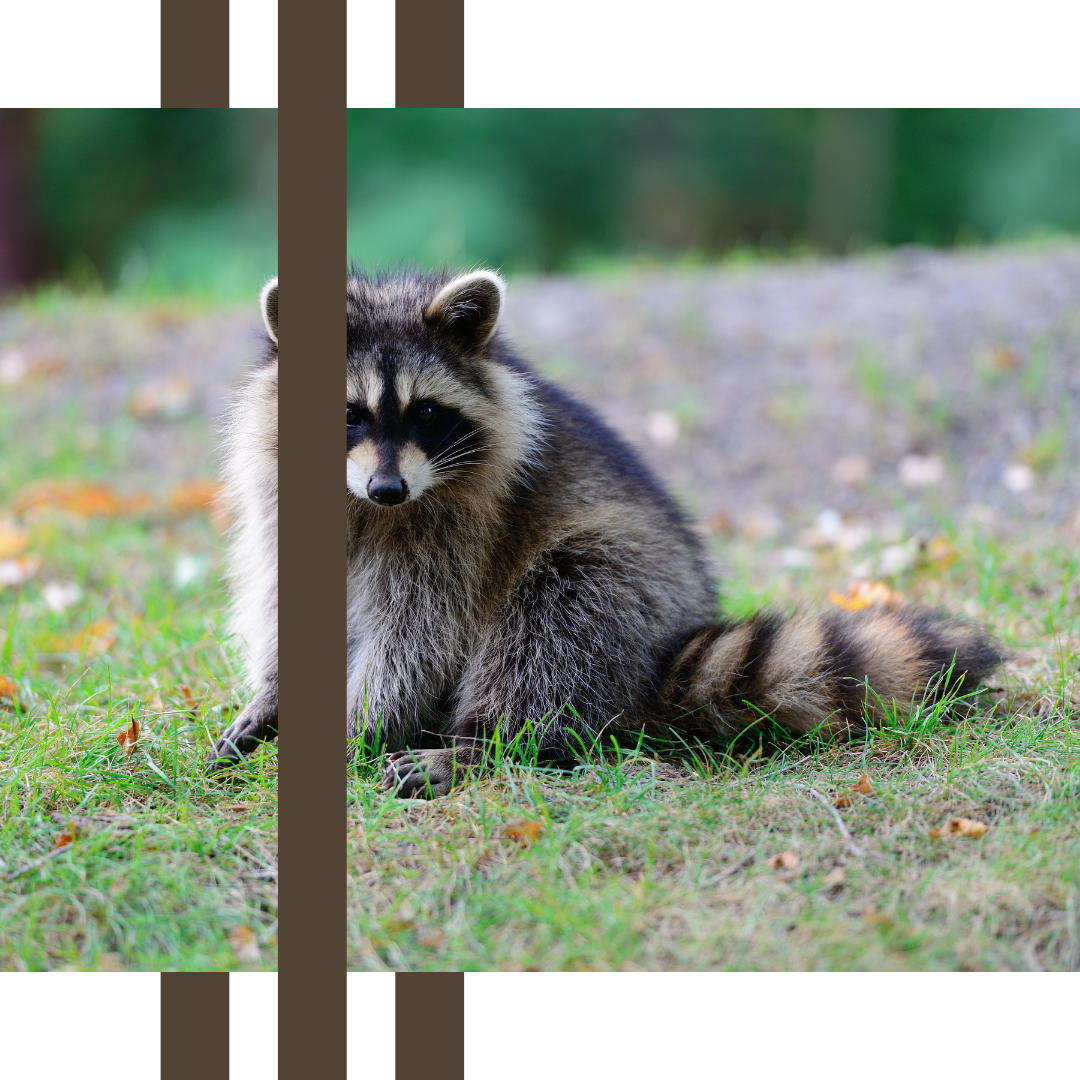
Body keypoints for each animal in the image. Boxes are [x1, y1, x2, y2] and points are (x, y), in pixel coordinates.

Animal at [347, 269, 999, 797]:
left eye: (425, 412)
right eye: (351, 413)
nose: (388, 489)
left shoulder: (459, 522)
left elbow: (418, 633)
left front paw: (363, 724)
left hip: (628, 578)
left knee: (556, 619)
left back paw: (482, 745)